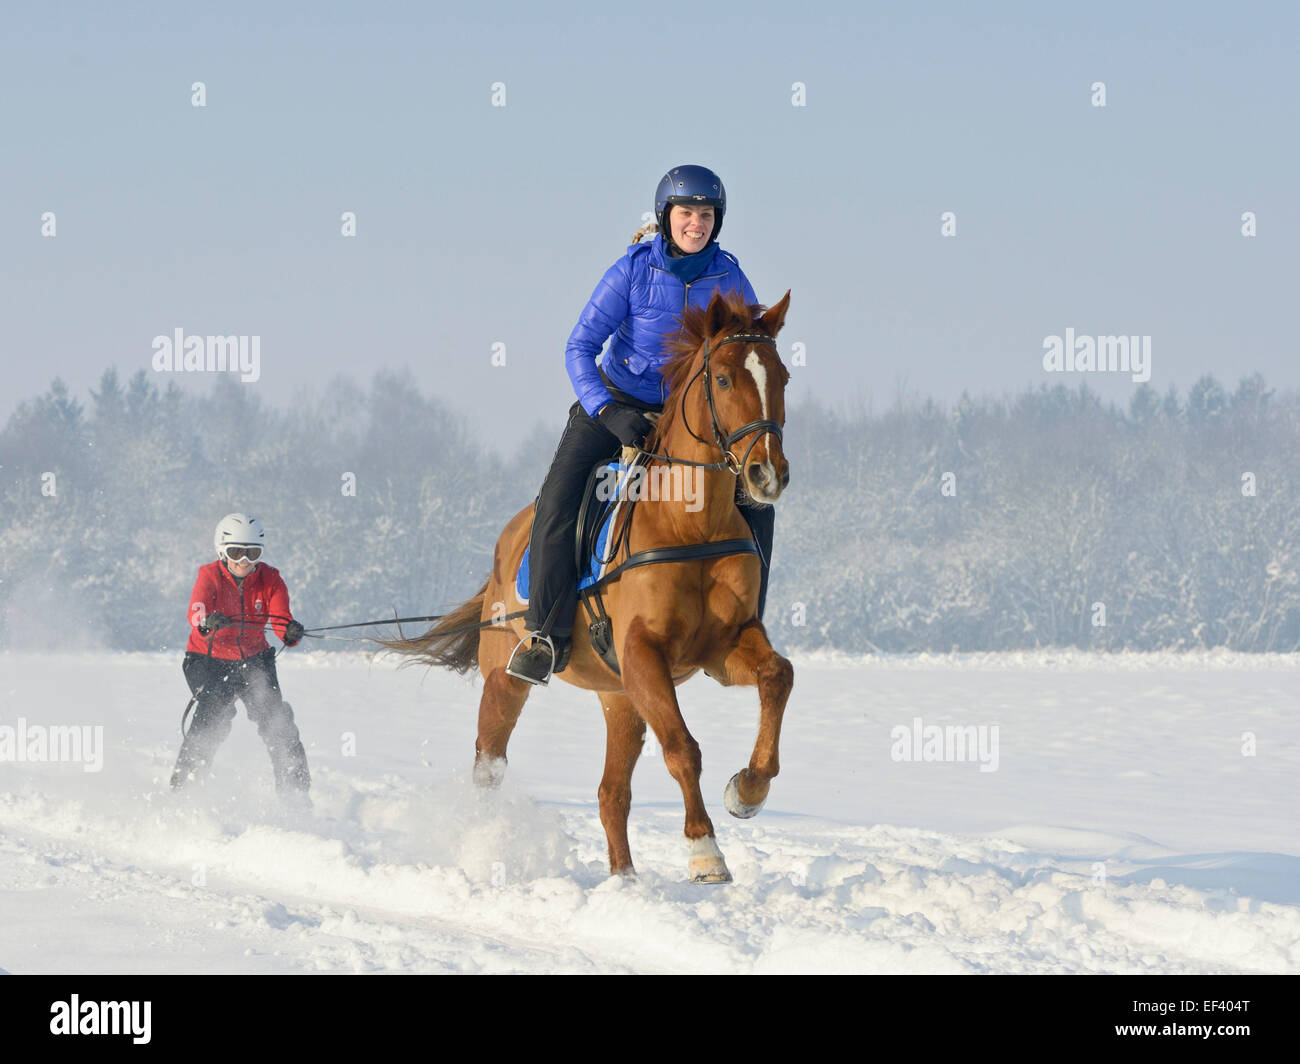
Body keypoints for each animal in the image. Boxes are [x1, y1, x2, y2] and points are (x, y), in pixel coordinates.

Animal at [379, 290, 795, 879]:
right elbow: (683, 749)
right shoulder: (644, 652)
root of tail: (507, 543)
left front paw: (749, 789)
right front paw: (704, 851)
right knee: (489, 766)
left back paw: (625, 882)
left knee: (610, 794)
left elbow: (778, 676)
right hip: (505, 680)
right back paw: (485, 843)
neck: (691, 525)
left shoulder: (719, 648)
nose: (767, 474)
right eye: (723, 379)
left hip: (620, 697)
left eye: (782, 375)